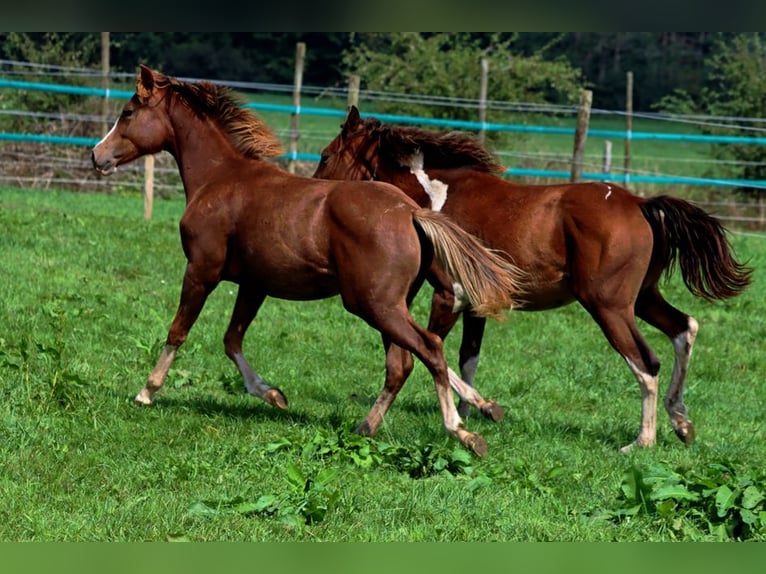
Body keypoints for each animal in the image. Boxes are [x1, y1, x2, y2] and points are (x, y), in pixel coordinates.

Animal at [316, 106, 752, 452]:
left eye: (325, 155)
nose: (319, 191)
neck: (433, 198)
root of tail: (642, 204)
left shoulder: (448, 295)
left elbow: (430, 351)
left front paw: (482, 411)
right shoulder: (477, 304)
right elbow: (467, 357)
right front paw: (472, 412)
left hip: (610, 306)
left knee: (647, 362)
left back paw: (640, 442)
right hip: (643, 298)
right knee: (684, 328)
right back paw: (681, 423)